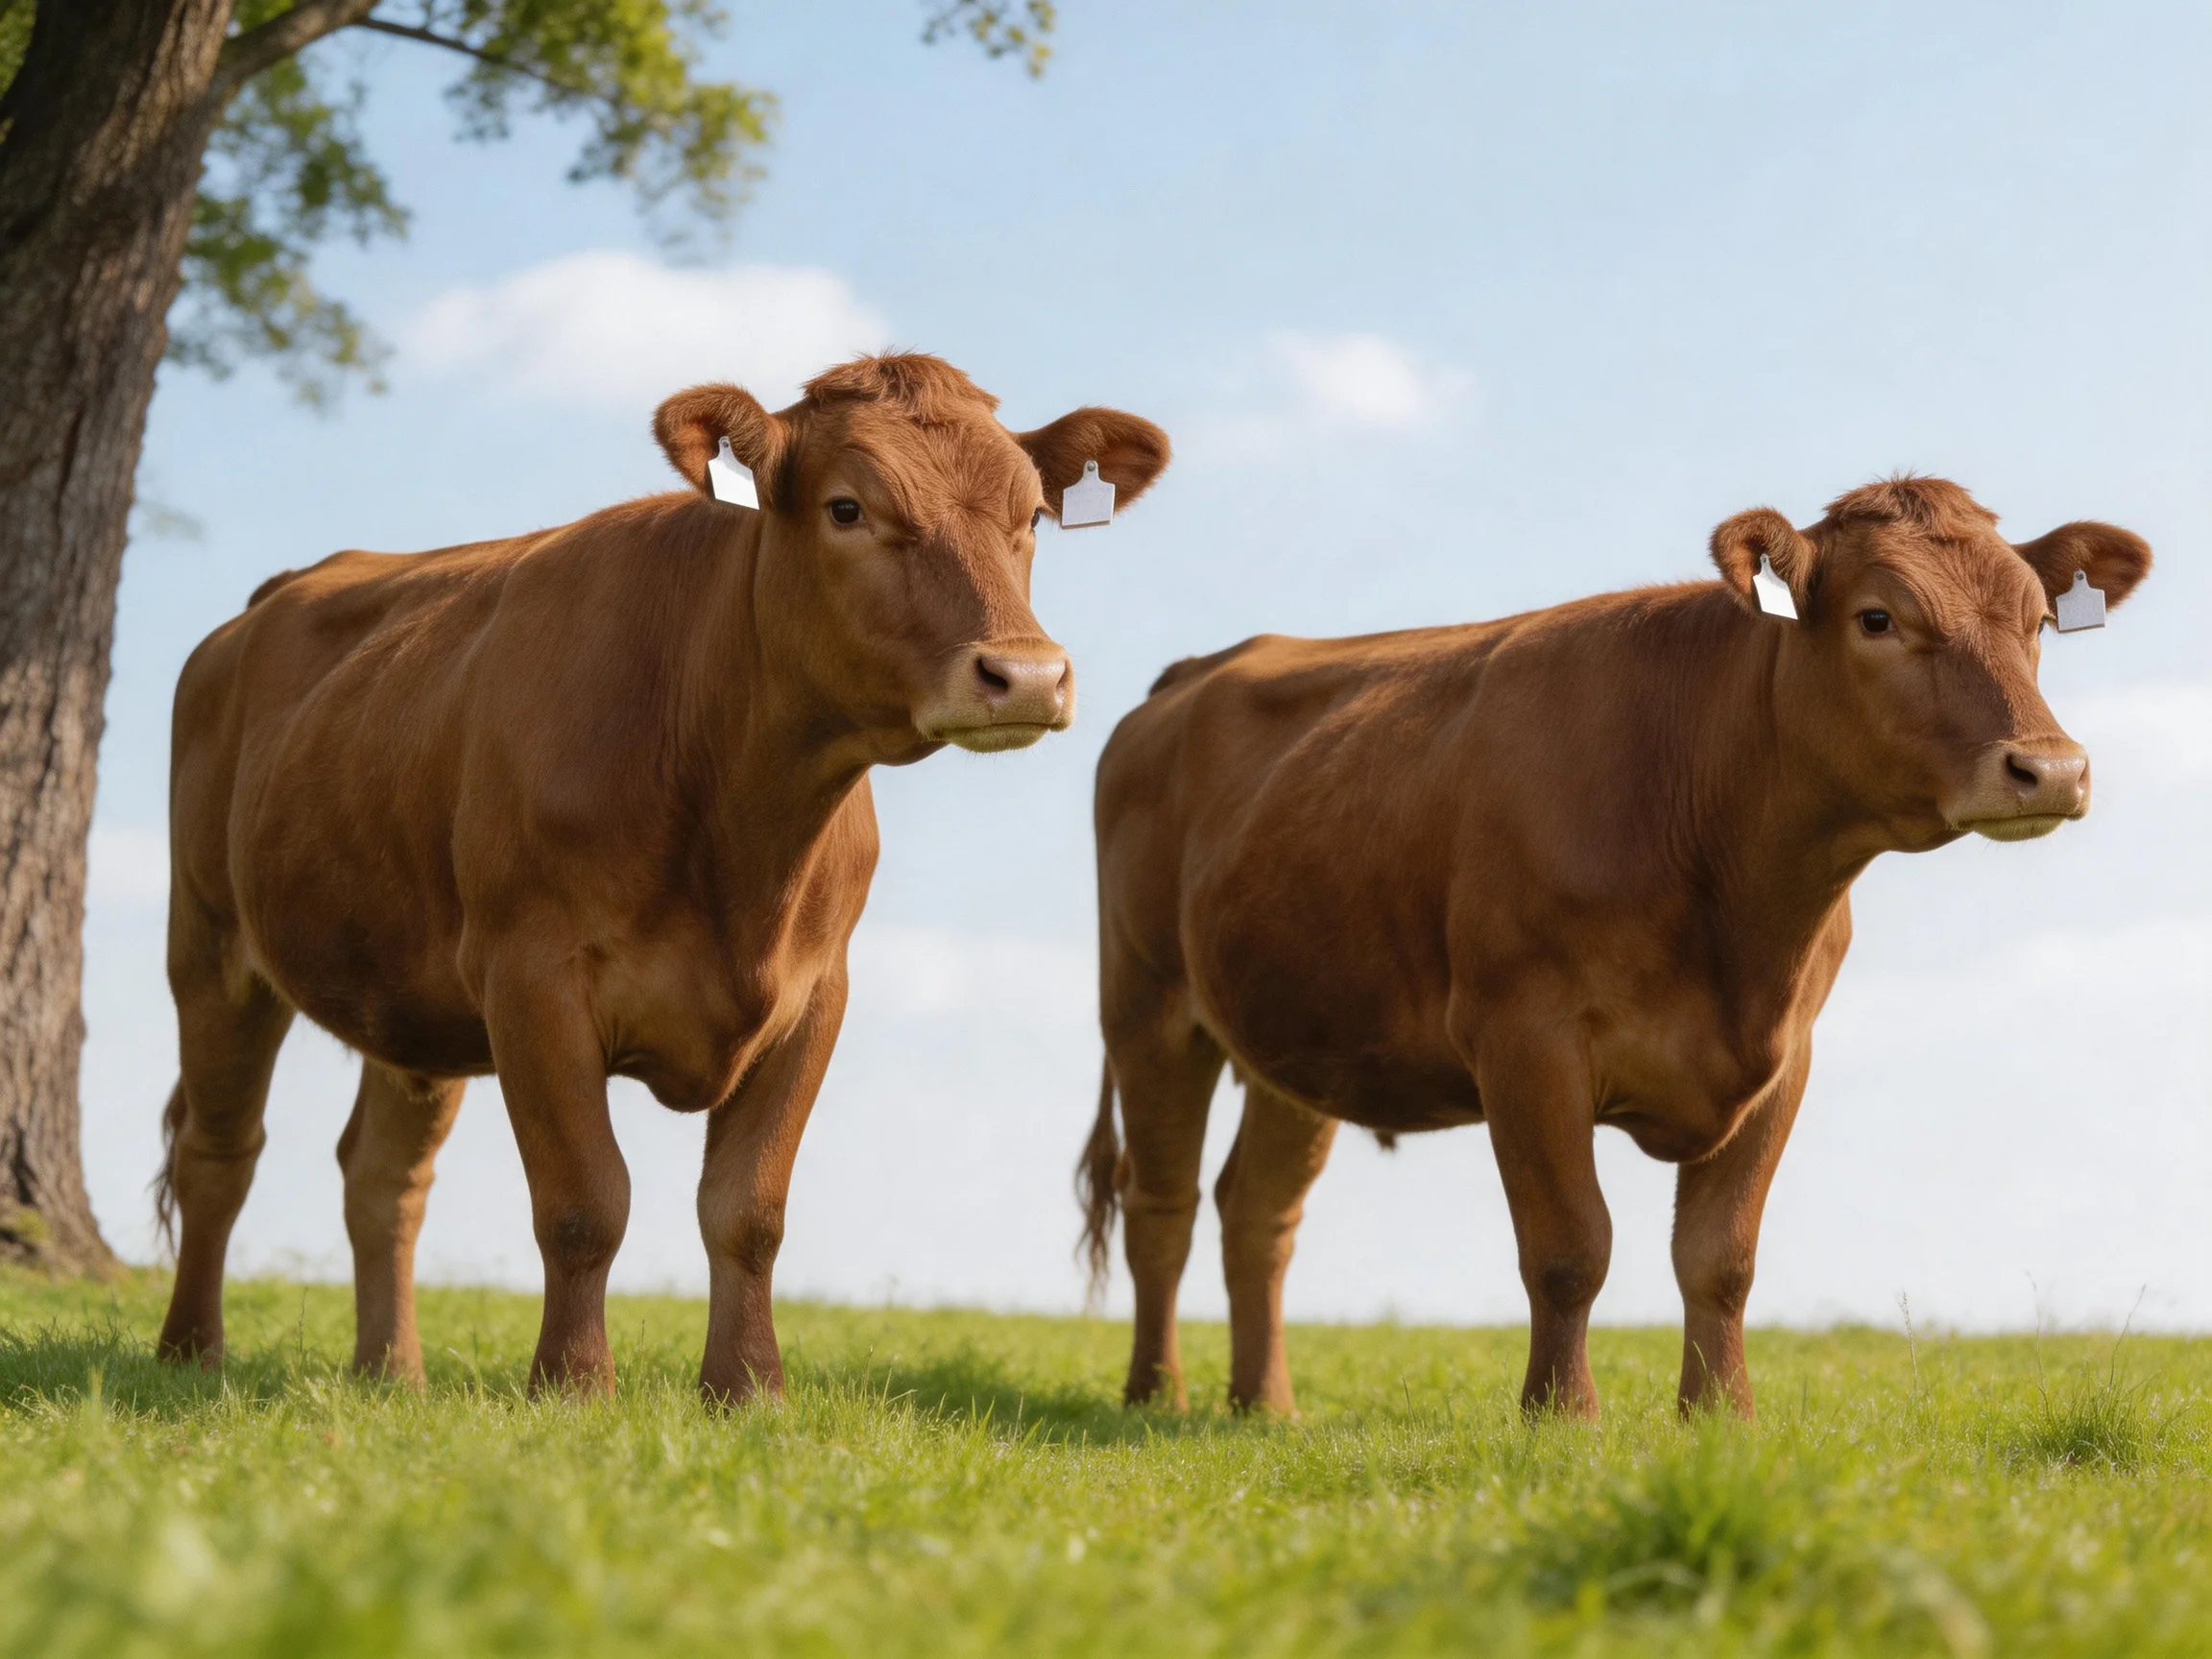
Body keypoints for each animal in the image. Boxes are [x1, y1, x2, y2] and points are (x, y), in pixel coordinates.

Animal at [152, 353, 1170, 1402]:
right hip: (211, 947)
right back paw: (191, 1353)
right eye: (847, 507)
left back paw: (392, 1373)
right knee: (218, 1155)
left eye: (1033, 516)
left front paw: (749, 1390)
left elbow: (748, 1209)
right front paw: (573, 1386)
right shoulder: (532, 980)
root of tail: (273, 598)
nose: (1027, 674)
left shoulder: (816, 995)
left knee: (383, 1179)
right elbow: (583, 1201)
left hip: (408, 997)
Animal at [1077, 477, 2150, 1420]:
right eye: (1878, 618)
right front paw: (1563, 1419)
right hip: (1148, 1008)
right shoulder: (1525, 1039)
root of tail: (1195, 671)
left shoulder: (1785, 1058)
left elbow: (1720, 1259)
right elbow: (1569, 1248)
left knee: (1256, 1213)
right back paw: (1154, 1396)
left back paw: (1266, 1405)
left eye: (2039, 624)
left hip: (1299, 1039)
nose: (2051, 768)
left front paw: (1721, 1420)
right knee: (1162, 1204)